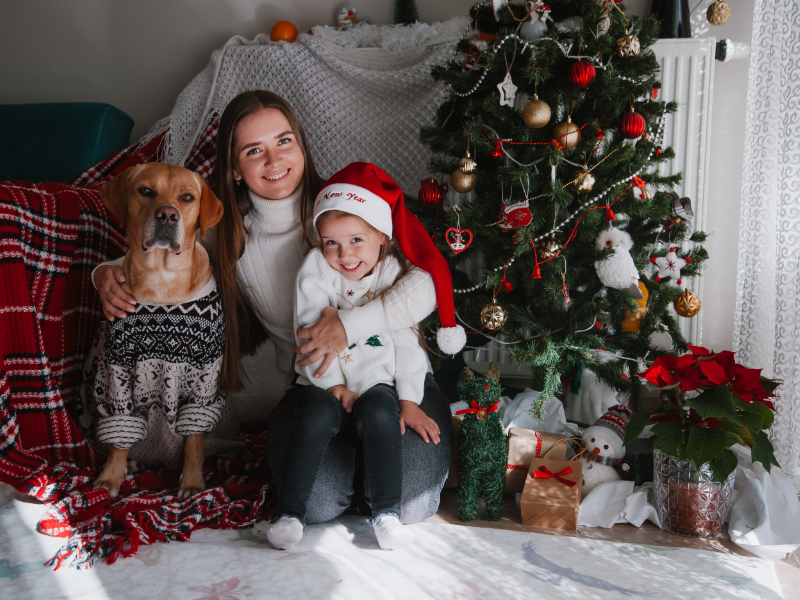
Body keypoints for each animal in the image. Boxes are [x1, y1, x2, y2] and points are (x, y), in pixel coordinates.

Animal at [93, 163, 225, 496]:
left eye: (187, 197)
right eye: (146, 191)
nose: (167, 215)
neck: (162, 277)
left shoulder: (206, 371)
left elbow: (194, 439)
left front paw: (192, 482)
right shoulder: (118, 367)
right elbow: (120, 430)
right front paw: (110, 476)